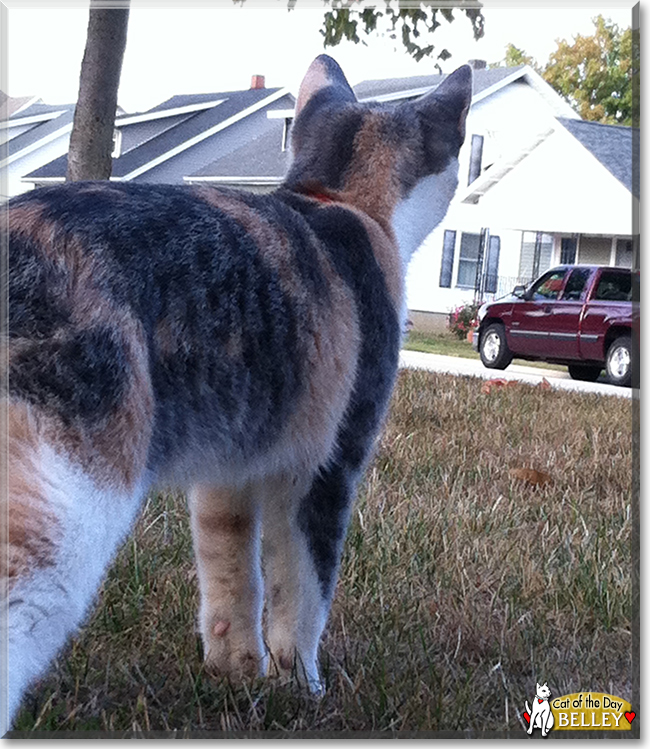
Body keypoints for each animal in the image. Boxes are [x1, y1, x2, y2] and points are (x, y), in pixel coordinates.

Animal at [0, 54, 466, 724]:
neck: (338, 201)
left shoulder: (229, 469)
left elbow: (232, 577)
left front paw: (239, 674)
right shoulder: (327, 467)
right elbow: (304, 593)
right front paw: (305, 690)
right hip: (67, 507)